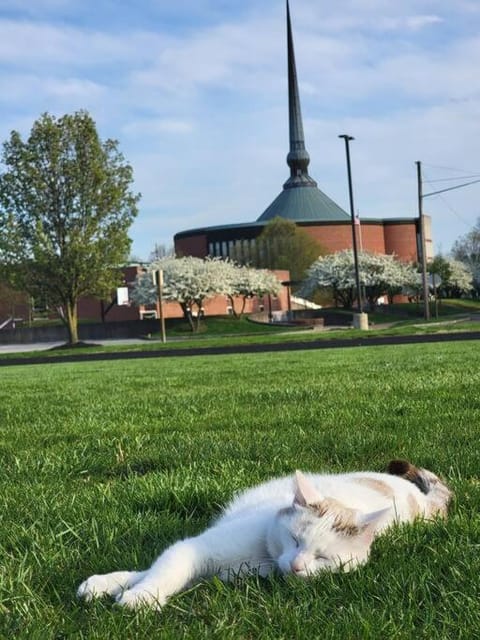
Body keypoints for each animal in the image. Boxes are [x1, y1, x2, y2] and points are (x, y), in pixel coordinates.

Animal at [78, 460, 450, 608]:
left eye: (323, 558)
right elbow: (156, 571)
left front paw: (135, 594)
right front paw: (122, 589)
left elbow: (160, 573)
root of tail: (421, 499)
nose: (297, 567)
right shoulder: (193, 549)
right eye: (296, 539)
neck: (264, 556)